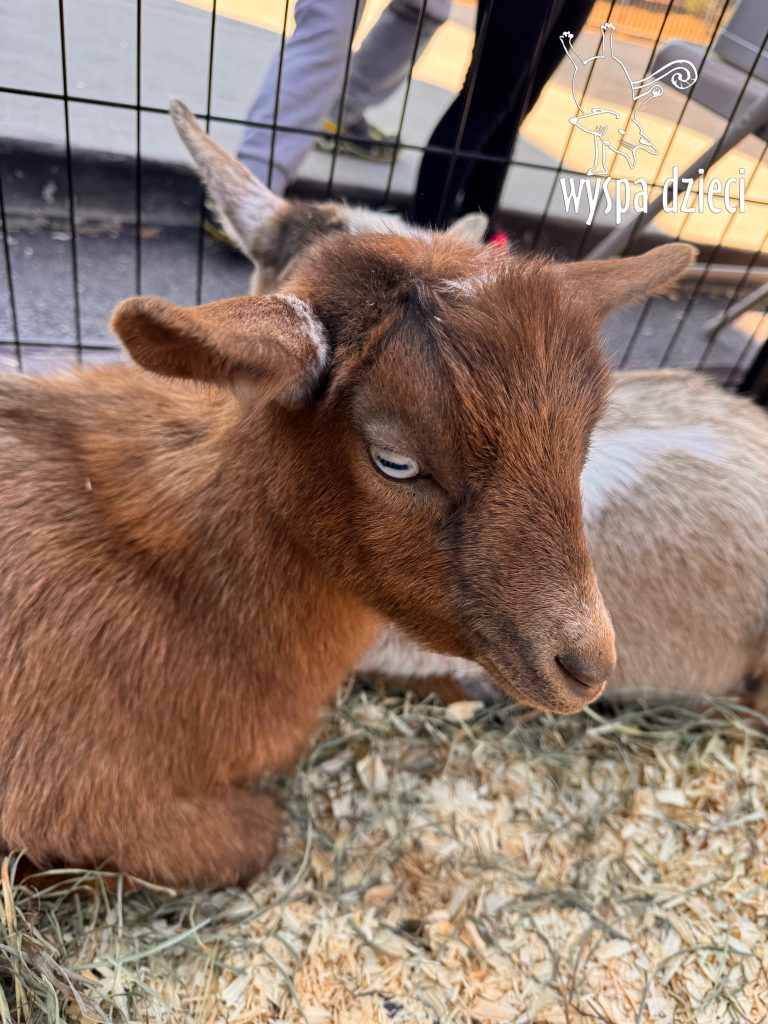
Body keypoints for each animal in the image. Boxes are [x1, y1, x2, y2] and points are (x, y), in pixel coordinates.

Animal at [0, 160, 695, 891]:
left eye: (582, 444)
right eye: (394, 460)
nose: (588, 666)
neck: (191, 588)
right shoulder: (79, 791)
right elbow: (257, 835)